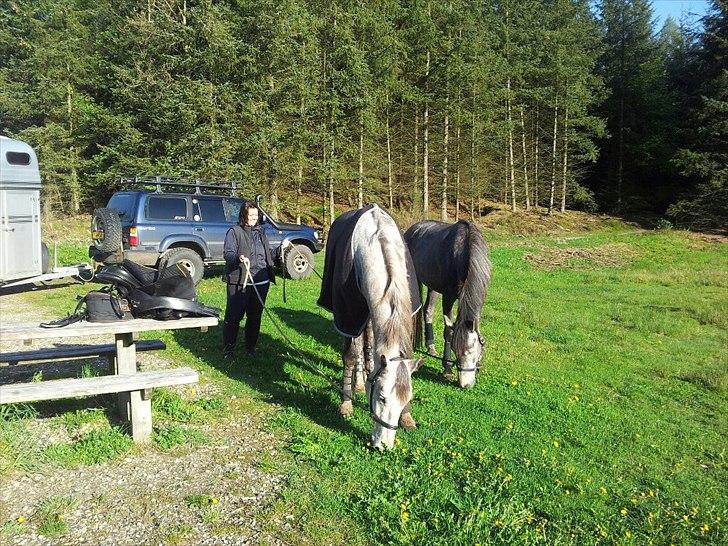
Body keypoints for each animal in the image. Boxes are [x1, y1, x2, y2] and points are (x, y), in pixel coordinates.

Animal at [318, 203, 420, 446]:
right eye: (381, 398)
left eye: (407, 398)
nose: (383, 445)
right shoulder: (348, 316)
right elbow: (349, 355)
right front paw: (346, 403)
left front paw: (407, 418)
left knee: (367, 344)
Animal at [400, 218, 492, 386]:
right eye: (456, 350)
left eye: (471, 351)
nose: (465, 384)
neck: (464, 253)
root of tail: (412, 230)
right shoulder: (448, 297)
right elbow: (448, 332)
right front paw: (447, 368)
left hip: (433, 287)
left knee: (428, 311)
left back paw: (430, 347)